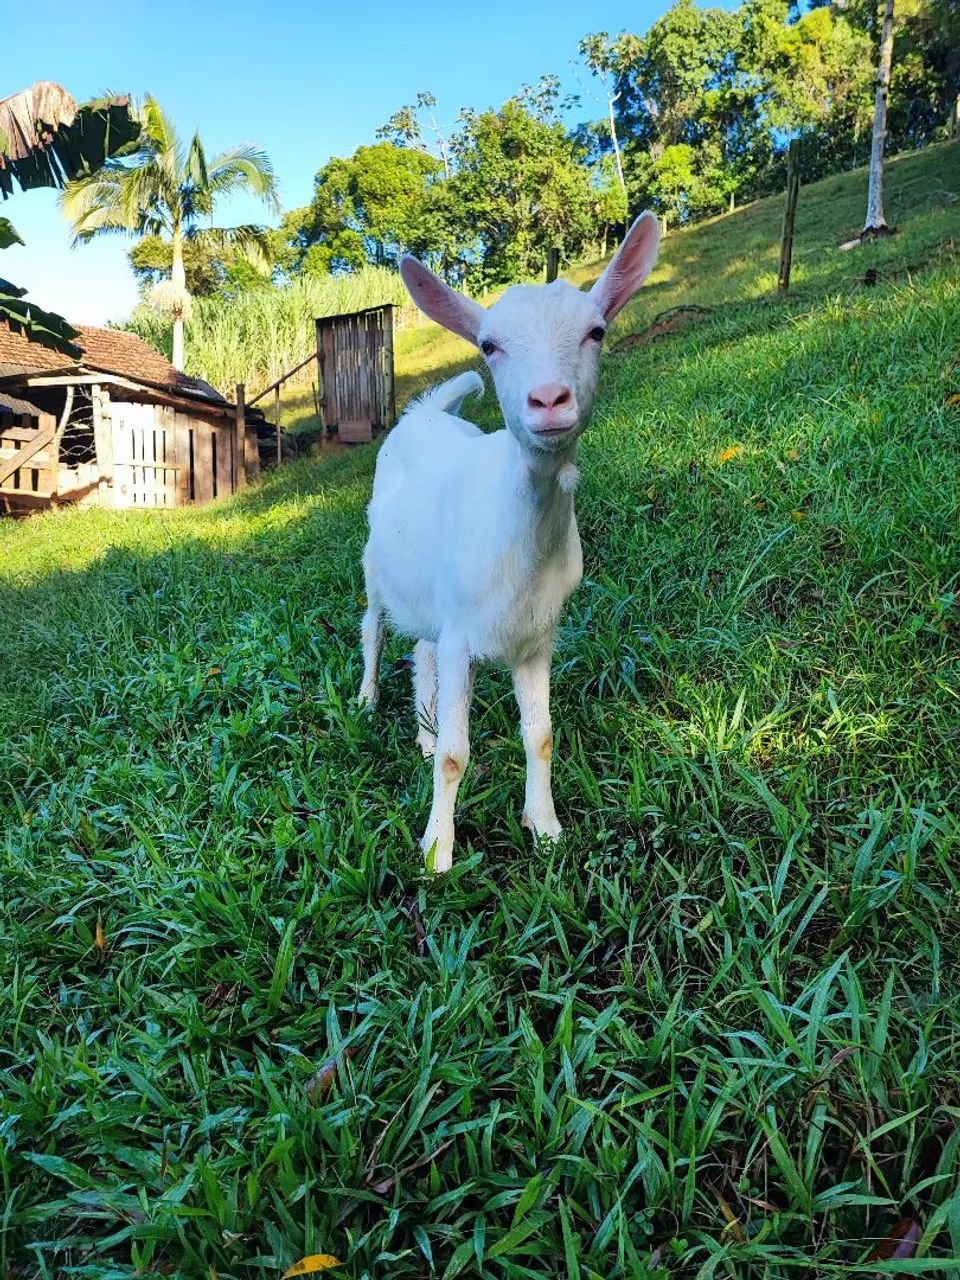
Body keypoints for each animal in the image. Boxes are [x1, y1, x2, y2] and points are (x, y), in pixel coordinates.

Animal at [360, 212, 661, 871]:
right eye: (489, 346)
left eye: (597, 332)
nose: (548, 400)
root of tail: (424, 412)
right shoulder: (462, 634)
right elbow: (457, 754)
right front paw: (436, 854)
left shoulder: (536, 637)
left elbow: (541, 734)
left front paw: (544, 827)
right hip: (373, 568)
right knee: (373, 629)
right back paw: (367, 700)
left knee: (419, 649)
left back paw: (421, 734)